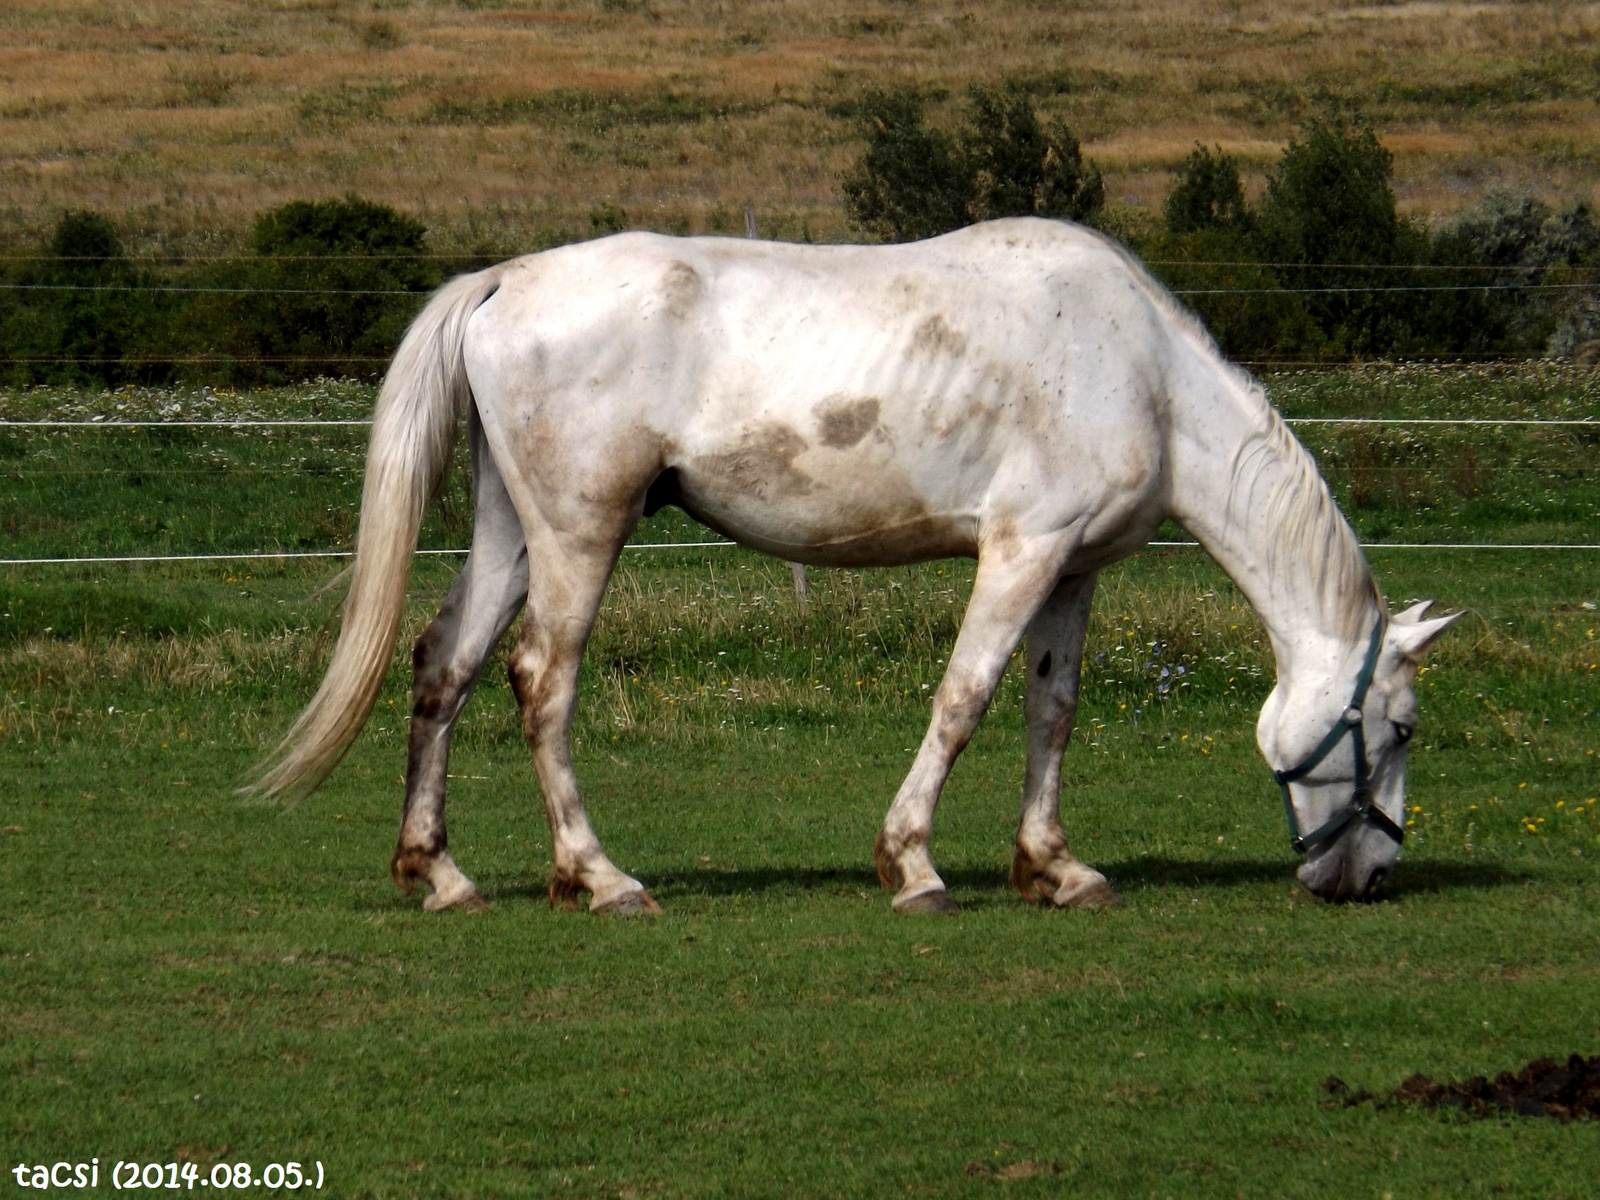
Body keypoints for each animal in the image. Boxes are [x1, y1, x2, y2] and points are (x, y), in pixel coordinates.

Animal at [246, 219, 1452, 908]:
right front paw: (911, 865)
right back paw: (599, 877)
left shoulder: (1073, 570)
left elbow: (1050, 712)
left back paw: (439, 874)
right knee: (541, 682)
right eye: (1397, 728)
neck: (1143, 370)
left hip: (514, 528)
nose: (1369, 878)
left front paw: (1055, 869)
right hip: (582, 535)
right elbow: (965, 698)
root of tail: (506, 279)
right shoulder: (1019, 551)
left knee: (442, 666)